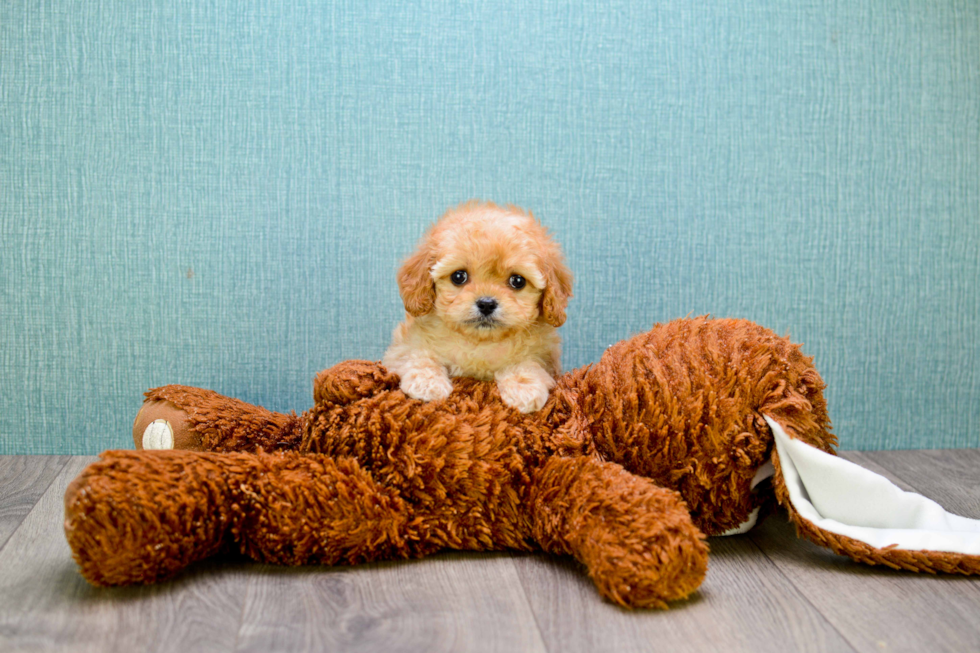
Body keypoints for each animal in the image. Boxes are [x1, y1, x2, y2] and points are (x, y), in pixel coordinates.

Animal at [382, 201, 576, 410]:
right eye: (458, 276)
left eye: (518, 281)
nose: (486, 304)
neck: (480, 342)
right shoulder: (401, 348)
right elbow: (417, 356)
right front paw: (427, 383)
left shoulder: (545, 357)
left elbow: (528, 363)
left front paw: (524, 389)